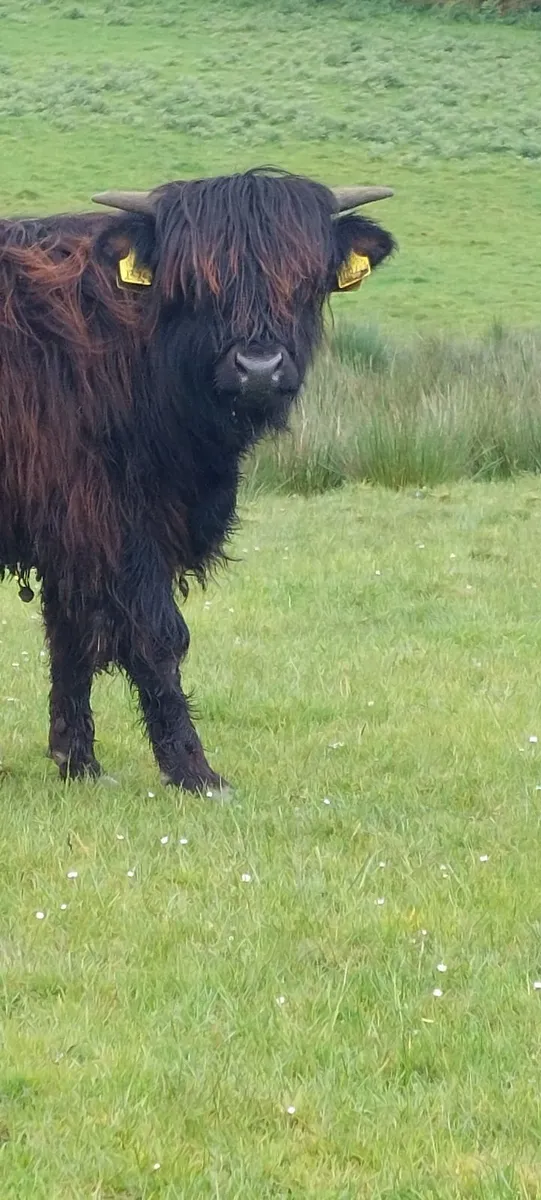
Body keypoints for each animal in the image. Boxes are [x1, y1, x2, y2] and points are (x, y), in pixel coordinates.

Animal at [0, 170, 395, 793]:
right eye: (196, 285)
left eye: (305, 282)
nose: (258, 369)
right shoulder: (113, 522)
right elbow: (157, 637)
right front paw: (195, 771)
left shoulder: (72, 528)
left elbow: (71, 639)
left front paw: (78, 764)